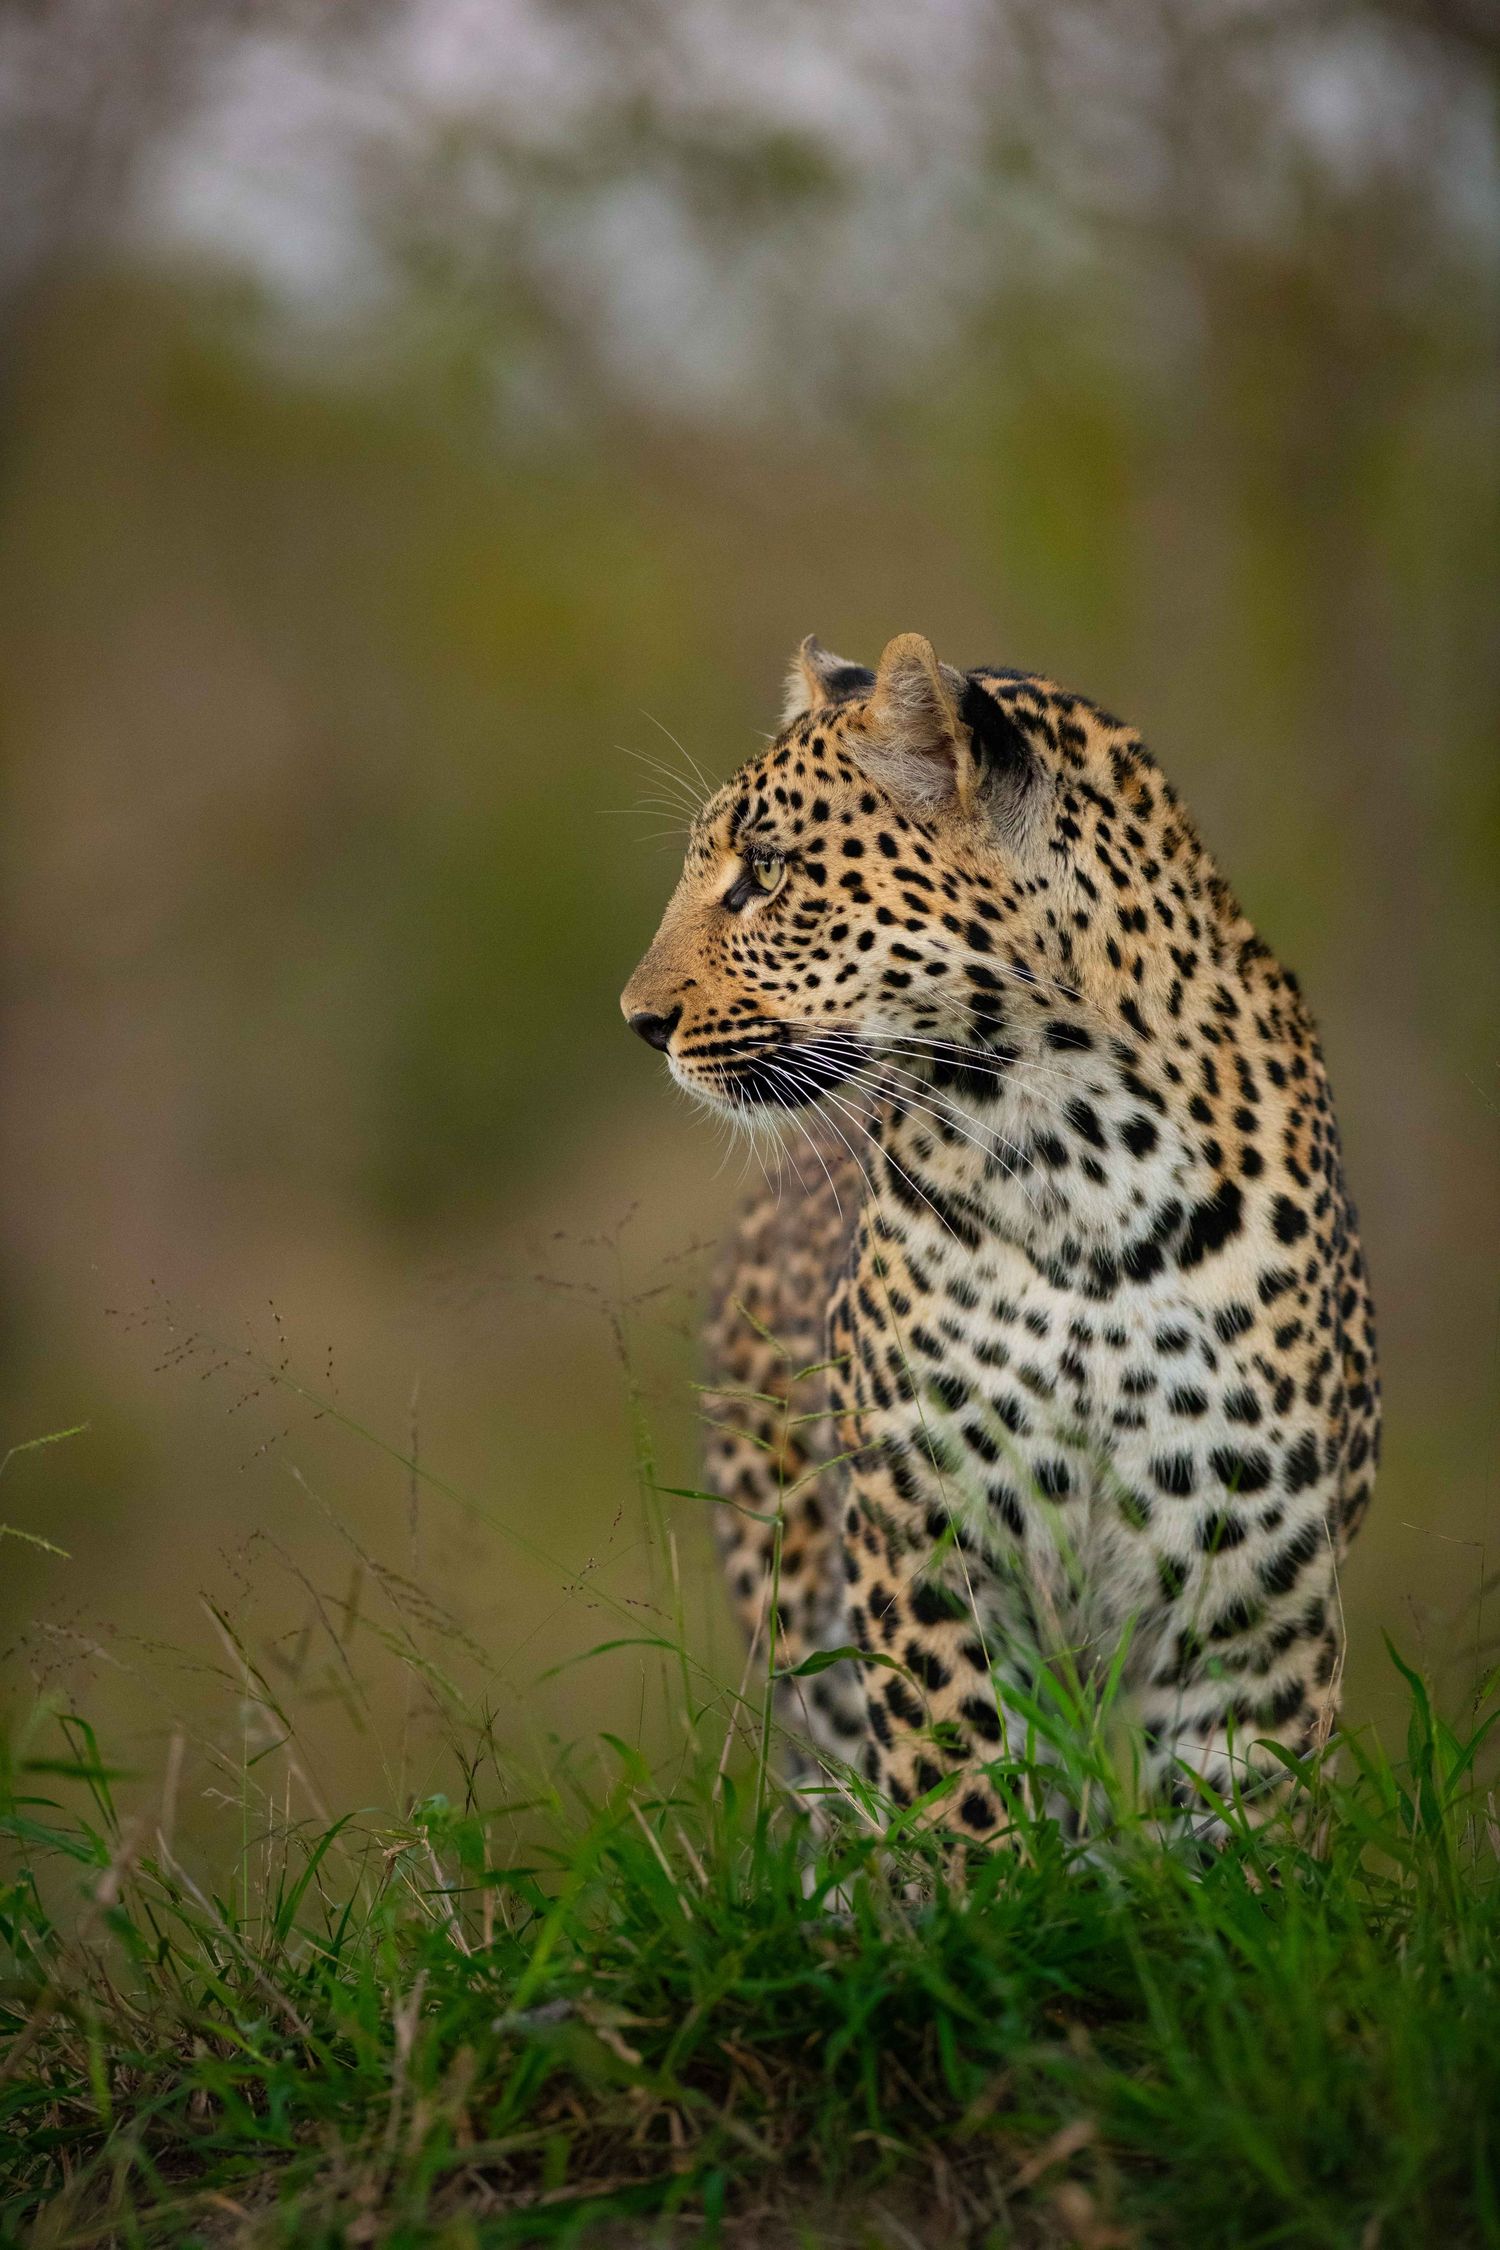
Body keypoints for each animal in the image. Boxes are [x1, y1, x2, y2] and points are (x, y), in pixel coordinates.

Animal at [620, 631, 1380, 1842]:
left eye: (768, 872)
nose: (641, 1022)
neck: (1083, 1160)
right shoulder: (927, 1544)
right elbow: (962, 1801)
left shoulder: (1257, 1589)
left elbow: (1245, 1836)